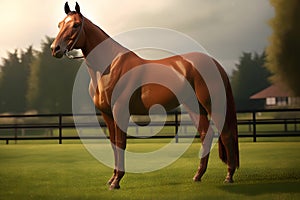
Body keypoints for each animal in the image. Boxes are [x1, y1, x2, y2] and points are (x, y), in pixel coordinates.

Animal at [51, 2, 239, 190]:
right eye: (60, 24)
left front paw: (117, 181)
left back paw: (229, 176)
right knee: (206, 135)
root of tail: (215, 63)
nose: (55, 49)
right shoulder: (107, 115)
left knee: (227, 135)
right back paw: (198, 176)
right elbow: (114, 145)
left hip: (213, 106)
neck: (108, 68)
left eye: (76, 25)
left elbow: (121, 144)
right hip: (194, 107)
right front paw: (112, 179)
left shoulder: (120, 112)